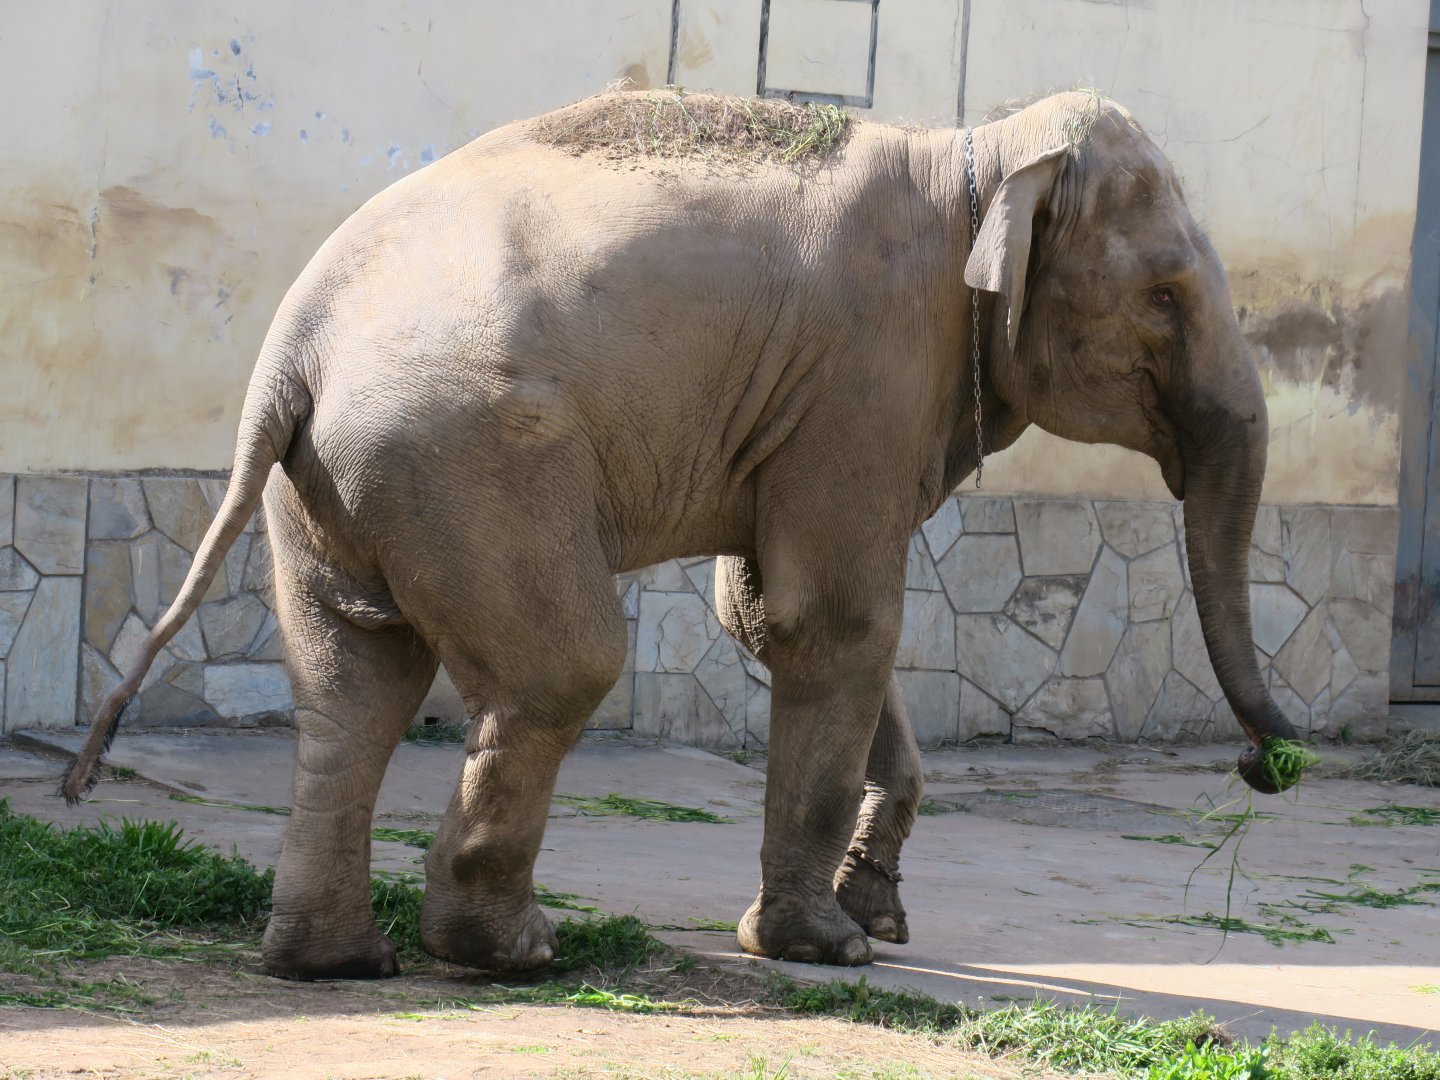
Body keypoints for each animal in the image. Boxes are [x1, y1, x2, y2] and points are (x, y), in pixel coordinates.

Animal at [63, 88, 1298, 980]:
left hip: (338, 480)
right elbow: (830, 621)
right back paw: (512, 953)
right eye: (1166, 297)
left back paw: (336, 964)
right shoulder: (867, 372)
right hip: (467, 457)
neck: (978, 151)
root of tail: (296, 340)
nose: (1265, 765)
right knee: (560, 667)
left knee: (352, 684)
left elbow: (766, 613)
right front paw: (824, 951)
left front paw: (877, 914)